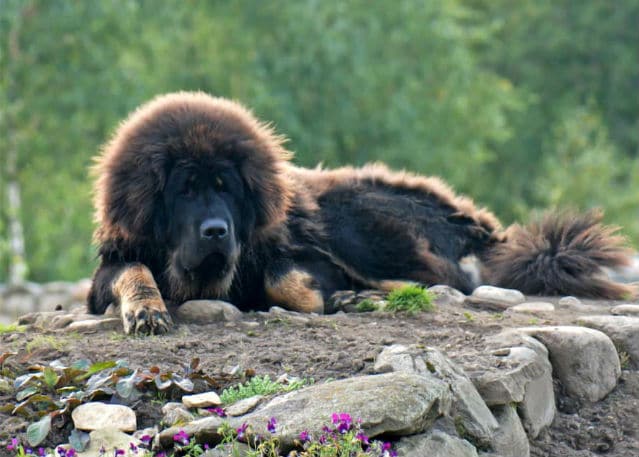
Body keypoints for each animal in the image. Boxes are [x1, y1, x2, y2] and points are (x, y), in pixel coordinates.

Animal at [87, 91, 636, 334]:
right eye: (184, 191)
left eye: (227, 189)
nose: (218, 231)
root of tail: (471, 223)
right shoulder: (109, 269)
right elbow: (134, 272)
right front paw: (147, 309)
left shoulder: (300, 255)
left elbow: (286, 279)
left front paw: (340, 297)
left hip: (358, 228)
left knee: (451, 281)